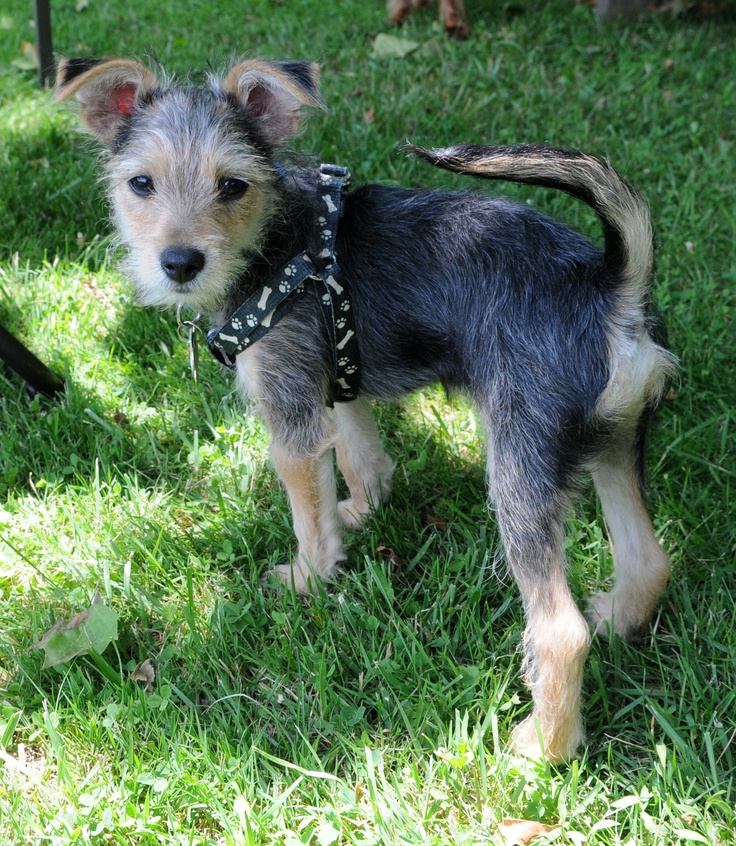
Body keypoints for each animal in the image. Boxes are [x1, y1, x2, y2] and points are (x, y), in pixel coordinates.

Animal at [54, 59, 676, 760]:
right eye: (141, 183)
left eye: (232, 186)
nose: (180, 263)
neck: (278, 241)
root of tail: (609, 291)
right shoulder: (334, 383)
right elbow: (361, 461)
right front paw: (360, 511)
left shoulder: (291, 418)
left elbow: (308, 513)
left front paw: (309, 577)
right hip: (613, 444)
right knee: (648, 559)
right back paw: (618, 620)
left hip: (521, 471)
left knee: (561, 631)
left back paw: (542, 747)